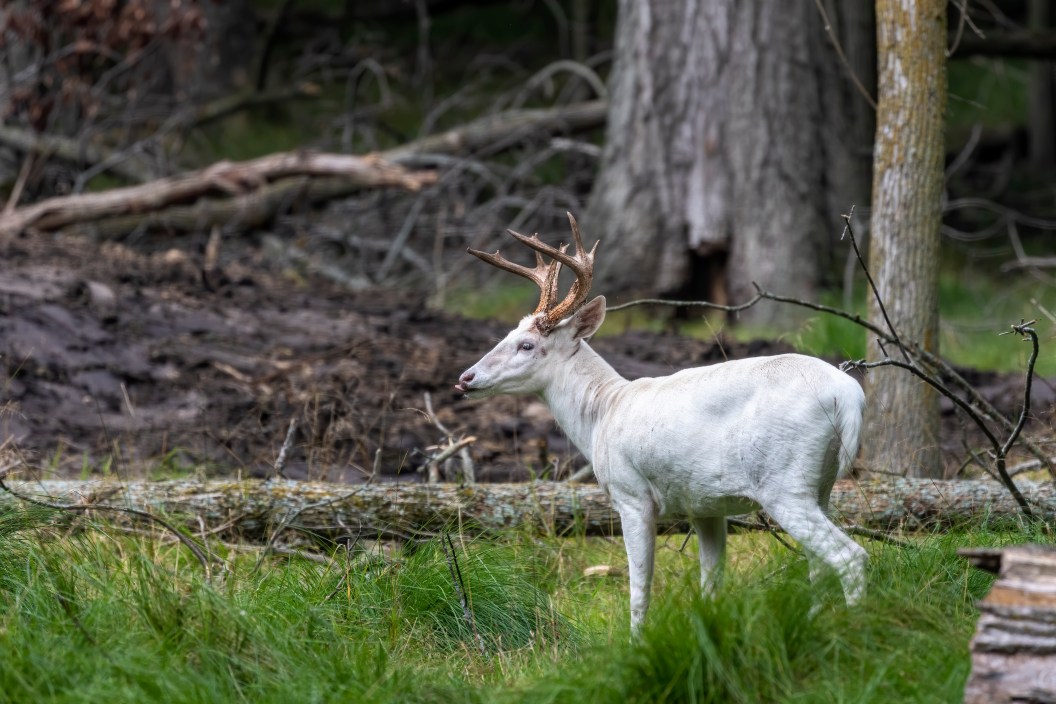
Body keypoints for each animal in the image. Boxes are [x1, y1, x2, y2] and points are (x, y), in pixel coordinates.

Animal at [455, 213, 868, 632]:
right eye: (508, 334)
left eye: (527, 345)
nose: (466, 378)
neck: (603, 411)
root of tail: (848, 394)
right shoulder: (705, 506)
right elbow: (711, 585)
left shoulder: (631, 494)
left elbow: (640, 589)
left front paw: (636, 640)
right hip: (820, 484)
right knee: (819, 564)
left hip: (783, 481)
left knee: (849, 556)